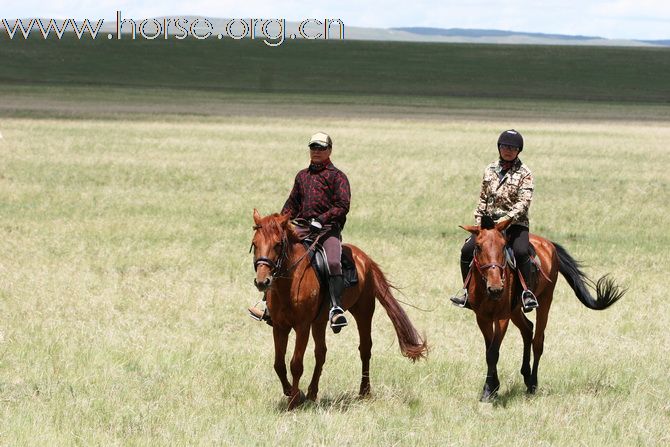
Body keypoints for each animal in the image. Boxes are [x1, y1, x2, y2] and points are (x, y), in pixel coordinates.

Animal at [249, 210, 428, 410]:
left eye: (278, 244)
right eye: (255, 244)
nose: (262, 282)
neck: (290, 282)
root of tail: (365, 259)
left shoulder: (302, 326)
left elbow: (296, 364)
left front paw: (294, 401)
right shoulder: (280, 326)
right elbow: (279, 364)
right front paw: (293, 393)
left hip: (364, 312)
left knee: (365, 349)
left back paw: (364, 392)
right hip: (319, 322)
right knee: (321, 353)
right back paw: (312, 393)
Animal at [460, 219, 628, 404]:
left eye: (503, 246)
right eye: (478, 247)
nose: (496, 288)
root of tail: (549, 244)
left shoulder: (502, 317)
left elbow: (493, 352)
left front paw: (489, 390)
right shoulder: (482, 317)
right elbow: (489, 350)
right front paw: (492, 388)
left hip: (545, 301)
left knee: (538, 342)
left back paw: (533, 384)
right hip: (516, 310)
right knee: (527, 329)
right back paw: (526, 376)